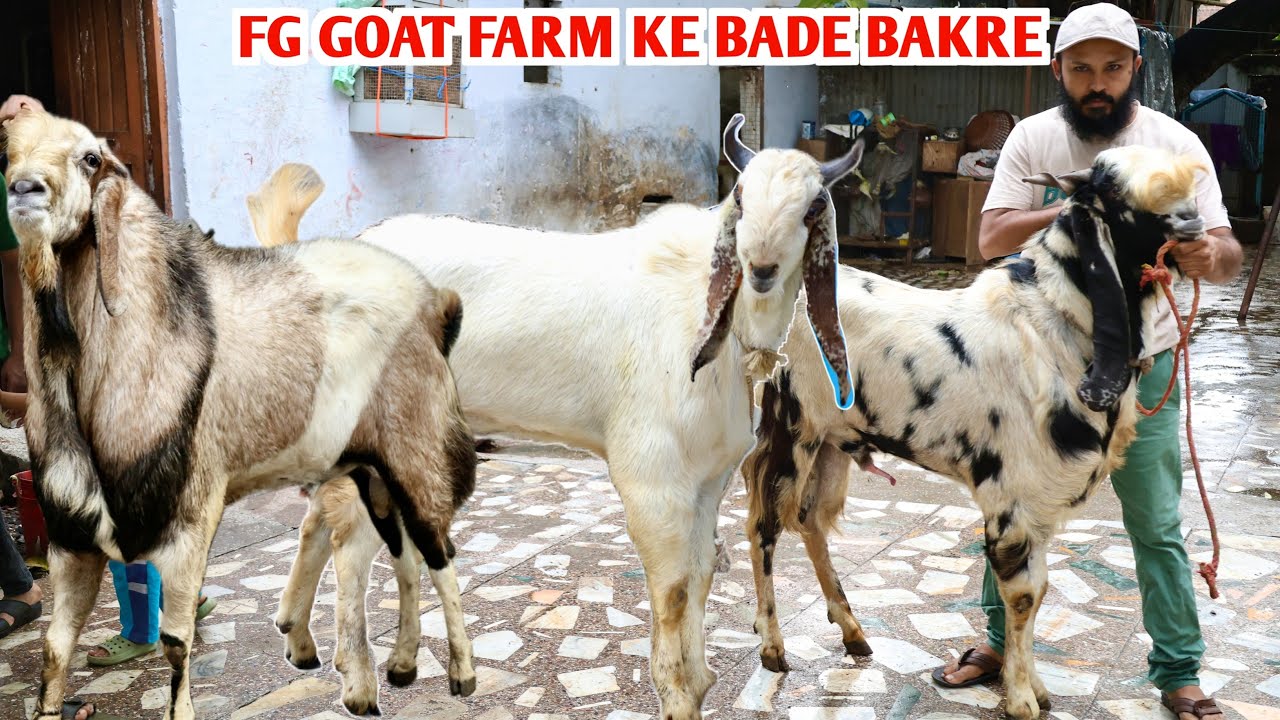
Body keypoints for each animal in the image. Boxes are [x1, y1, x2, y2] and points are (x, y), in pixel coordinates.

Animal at [2, 109, 478, 720]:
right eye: (8, 152)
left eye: (89, 157)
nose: (24, 189)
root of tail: (436, 304)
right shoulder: (71, 539)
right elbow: (55, 647)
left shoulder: (188, 523)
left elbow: (176, 642)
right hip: (370, 473)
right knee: (402, 556)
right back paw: (399, 666)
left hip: (417, 458)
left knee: (438, 553)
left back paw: (461, 674)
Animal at [270, 115, 877, 720]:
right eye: (742, 199)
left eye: (812, 207)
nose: (762, 269)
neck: (714, 326)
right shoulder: (652, 477)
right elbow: (674, 588)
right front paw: (678, 693)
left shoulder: (710, 477)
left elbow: (703, 572)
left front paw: (701, 678)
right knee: (351, 544)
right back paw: (359, 682)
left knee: (323, 521)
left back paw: (307, 641)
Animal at [740, 145, 1208, 720]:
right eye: (1118, 196)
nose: (1192, 222)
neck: (1054, 323)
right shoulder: (1012, 497)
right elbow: (1024, 595)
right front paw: (1023, 699)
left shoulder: (1038, 503)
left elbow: (1042, 589)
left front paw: (1036, 688)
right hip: (791, 427)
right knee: (765, 525)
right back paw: (773, 647)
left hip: (832, 440)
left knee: (809, 521)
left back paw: (853, 634)